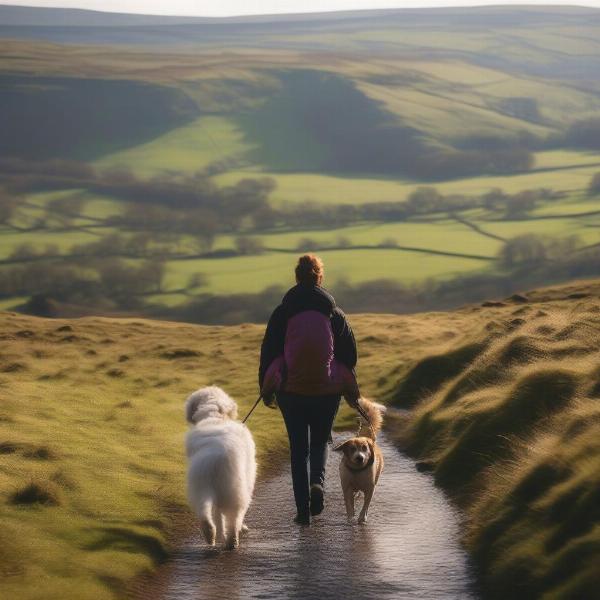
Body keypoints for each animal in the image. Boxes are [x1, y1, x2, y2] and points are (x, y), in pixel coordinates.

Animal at [185, 386, 255, 552]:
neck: (214, 415)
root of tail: (214, 460)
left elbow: (217, 516)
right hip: (236, 492)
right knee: (234, 518)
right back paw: (232, 541)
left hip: (201, 488)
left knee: (206, 513)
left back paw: (211, 535)